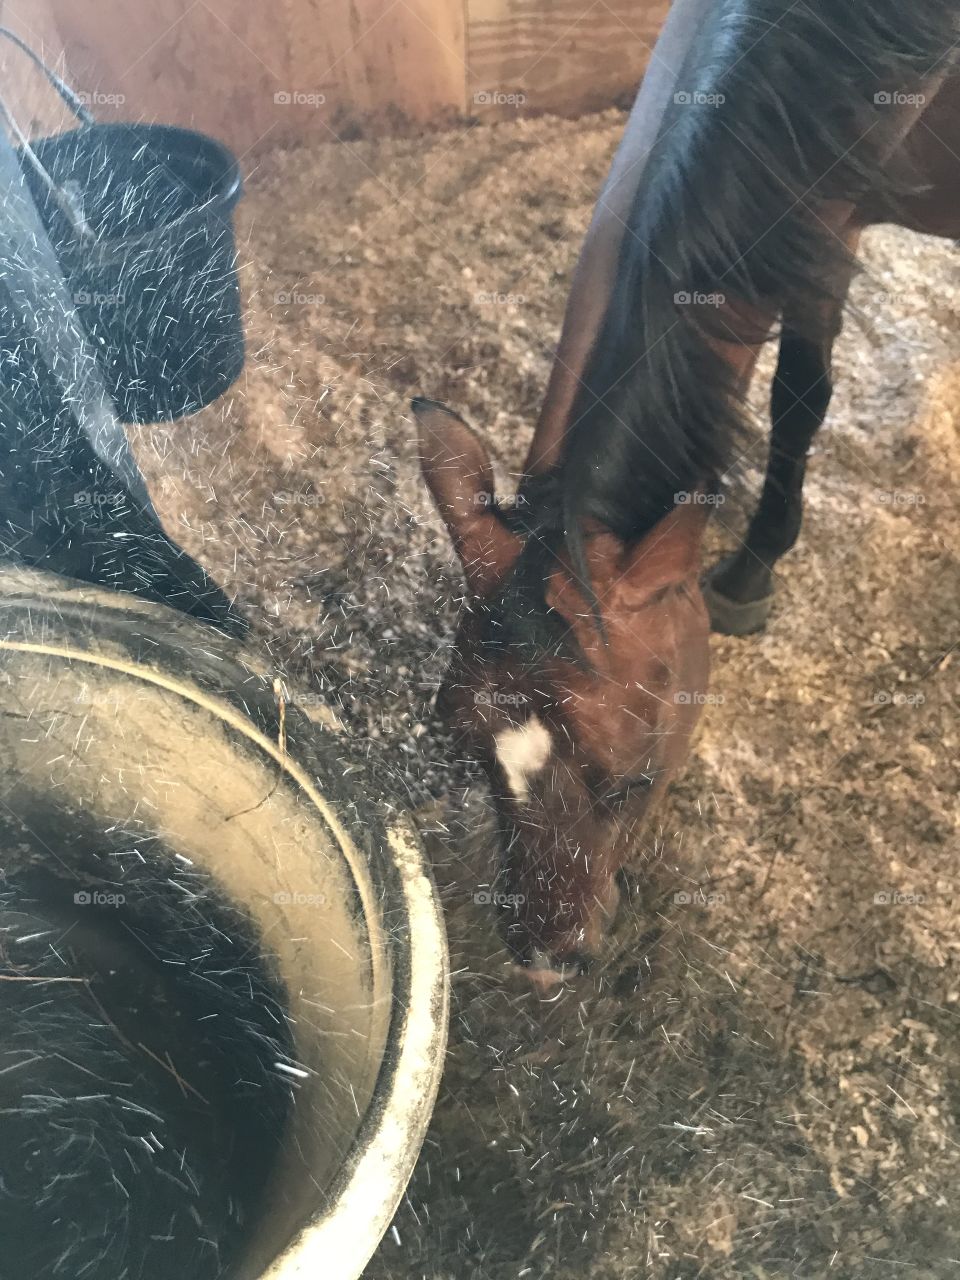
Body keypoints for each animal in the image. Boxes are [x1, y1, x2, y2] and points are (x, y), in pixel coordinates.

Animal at [414, 0, 960, 983]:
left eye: (632, 780)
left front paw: (752, 568)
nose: (544, 960)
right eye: (468, 747)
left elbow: (800, 397)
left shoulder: (830, 227)